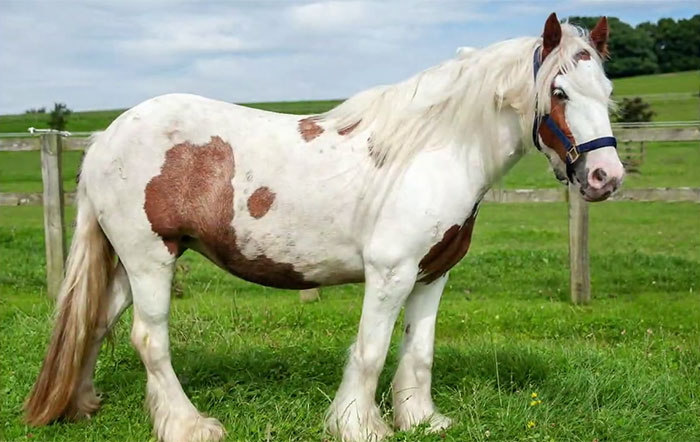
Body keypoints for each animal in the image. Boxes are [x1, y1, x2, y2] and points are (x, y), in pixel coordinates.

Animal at [25, 13, 623, 442]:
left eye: (608, 92)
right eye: (560, 92)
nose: (606, 177)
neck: (432, 150)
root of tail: (104, 137)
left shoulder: (432, 276)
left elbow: (419, 351)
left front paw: (421, 420)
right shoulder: (390, 274)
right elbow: (371, 350)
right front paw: (358, 426)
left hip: (132, 264)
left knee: (94, 322)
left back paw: (80, 406)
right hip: (151, 259)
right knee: (150, 340)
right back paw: (190, 426)